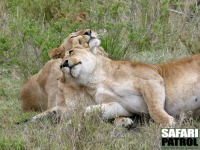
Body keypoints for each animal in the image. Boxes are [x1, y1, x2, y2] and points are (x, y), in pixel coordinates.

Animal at [61, 40, 200, 126]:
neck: (95, 81)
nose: (64, 64)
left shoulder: (151, 79)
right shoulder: (120, 106)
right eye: (60, 66)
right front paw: (72, 121)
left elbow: (154, 109)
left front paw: (168, 122)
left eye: (71, 51)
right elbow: (91, 110)